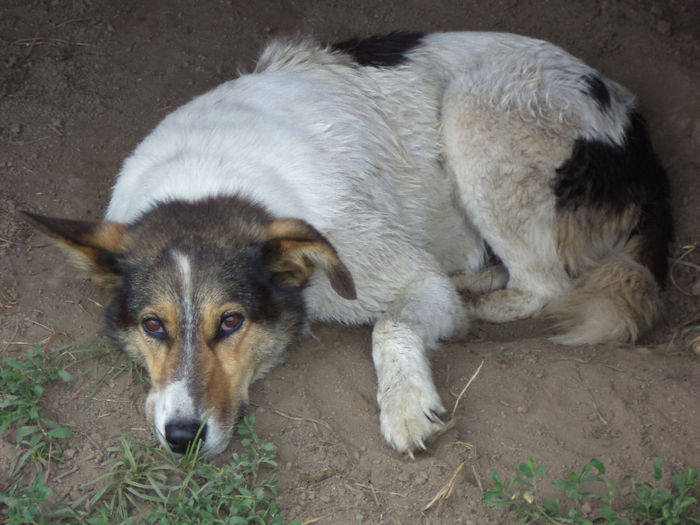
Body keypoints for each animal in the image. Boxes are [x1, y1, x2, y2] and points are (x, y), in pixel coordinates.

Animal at [24, 31, 672, 454]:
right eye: (153, 326)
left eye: (231, 322)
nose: (182, 438)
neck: (210, 177)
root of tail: (630, 114)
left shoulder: (410, 278)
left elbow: (390, 325)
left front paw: (407, 405)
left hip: (474, 114)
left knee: (546, 282)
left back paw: (484, 302)